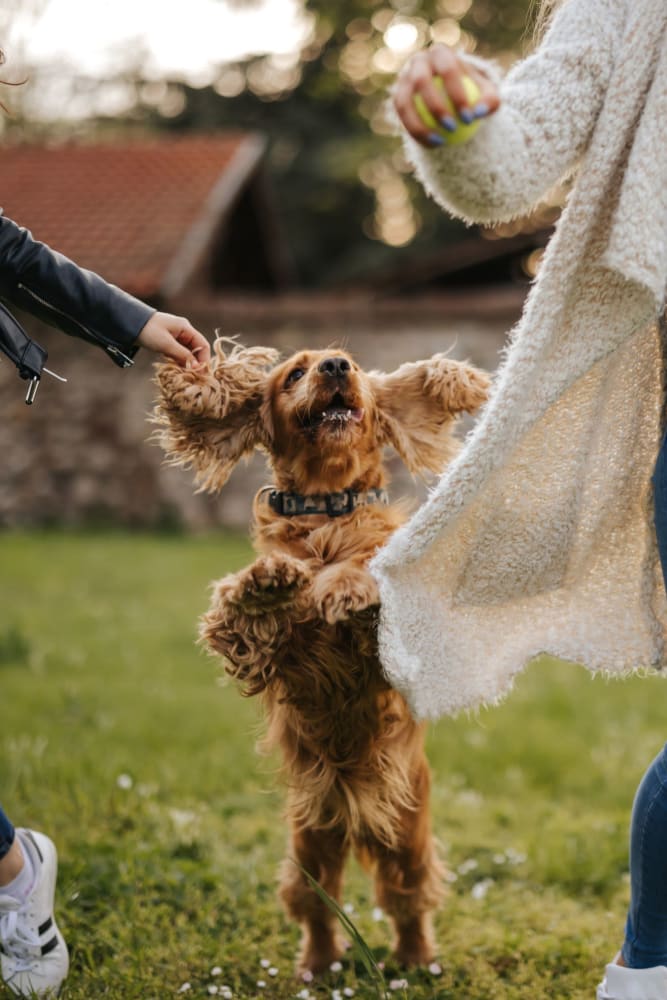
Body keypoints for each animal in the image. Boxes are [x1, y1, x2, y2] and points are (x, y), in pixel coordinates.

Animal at [155, 342, 490, 976]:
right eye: (294, 374)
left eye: (351, 365)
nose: (335, 366)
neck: (328, 510)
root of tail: (355, 813)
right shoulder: (274, 659)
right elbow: (247, 618)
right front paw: (266, 585)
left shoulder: (388, 649)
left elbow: (366, 573)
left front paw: (347, 586)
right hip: (309, 844)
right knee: (319, 908)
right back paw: (316, 965)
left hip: (406, 838)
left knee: (408, 901)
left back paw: (416, 960)